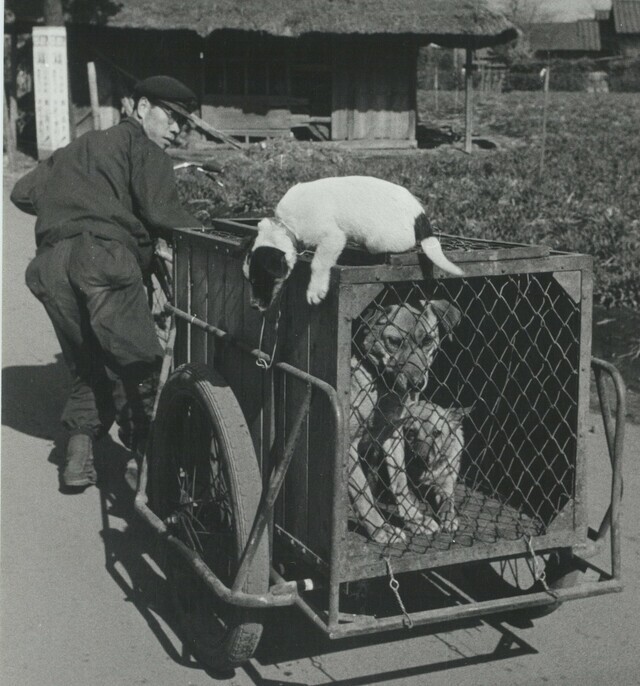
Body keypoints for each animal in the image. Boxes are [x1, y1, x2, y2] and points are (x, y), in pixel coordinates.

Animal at [242, 176, 462, 310]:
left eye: (259, 280)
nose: (253, 306)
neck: (286, 225)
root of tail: (420, 215)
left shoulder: (332, 237)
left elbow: (318, 263)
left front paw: (315, 290)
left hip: (377, 240)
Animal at [350, 298, 460, 544]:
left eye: (427, 340)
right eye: (394, 341)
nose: (417, 384)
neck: (382, 390)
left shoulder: (393, 436)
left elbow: (399, 482)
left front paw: (415, 519)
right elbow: (363, 494)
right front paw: (381, 528)